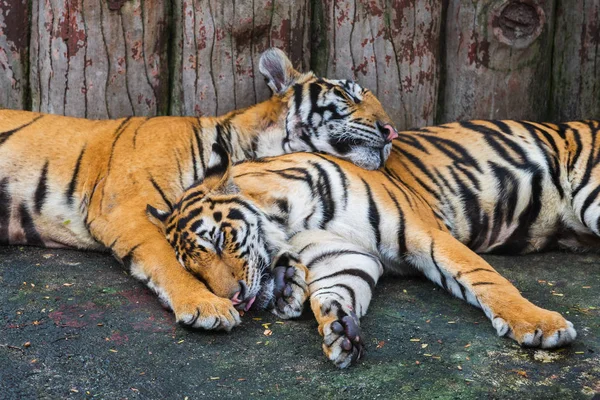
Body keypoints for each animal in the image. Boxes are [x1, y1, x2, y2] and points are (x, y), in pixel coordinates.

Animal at [1, 47, 404, 332]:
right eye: (346, 94)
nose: (392, 131)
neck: (245, 149)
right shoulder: (125, 208)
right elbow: (164, 258)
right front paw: (206, 305)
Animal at [149, 119, 600, 368]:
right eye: (193, 270)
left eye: (216, 240)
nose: (234, 299)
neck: (288, 221)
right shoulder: (343, 254)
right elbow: (336, 290)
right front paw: (337, 329)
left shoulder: (427, 234)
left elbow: (486, 279)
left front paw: (540, 326)